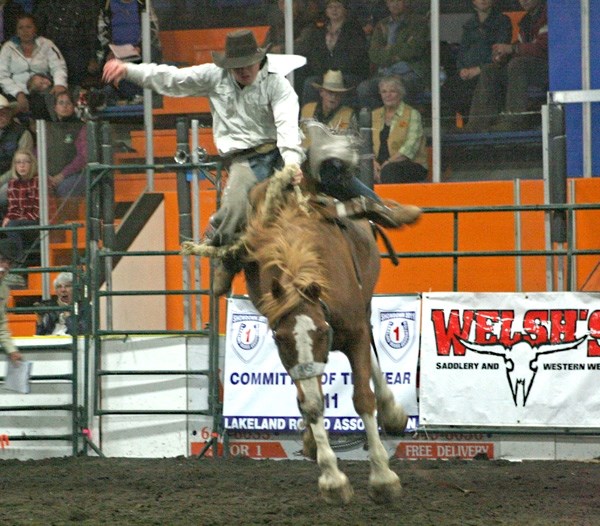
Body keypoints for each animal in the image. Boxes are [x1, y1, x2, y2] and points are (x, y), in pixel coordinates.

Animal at [243, 170, 408, 508]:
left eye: (320, 331)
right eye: (279, 338)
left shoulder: (356, 331)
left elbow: (363, 398)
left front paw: (383, 478)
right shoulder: (294, 357)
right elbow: (313, 403)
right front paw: (332, 479)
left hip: (366, 305)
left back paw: (392, 411)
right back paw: (310, 440)